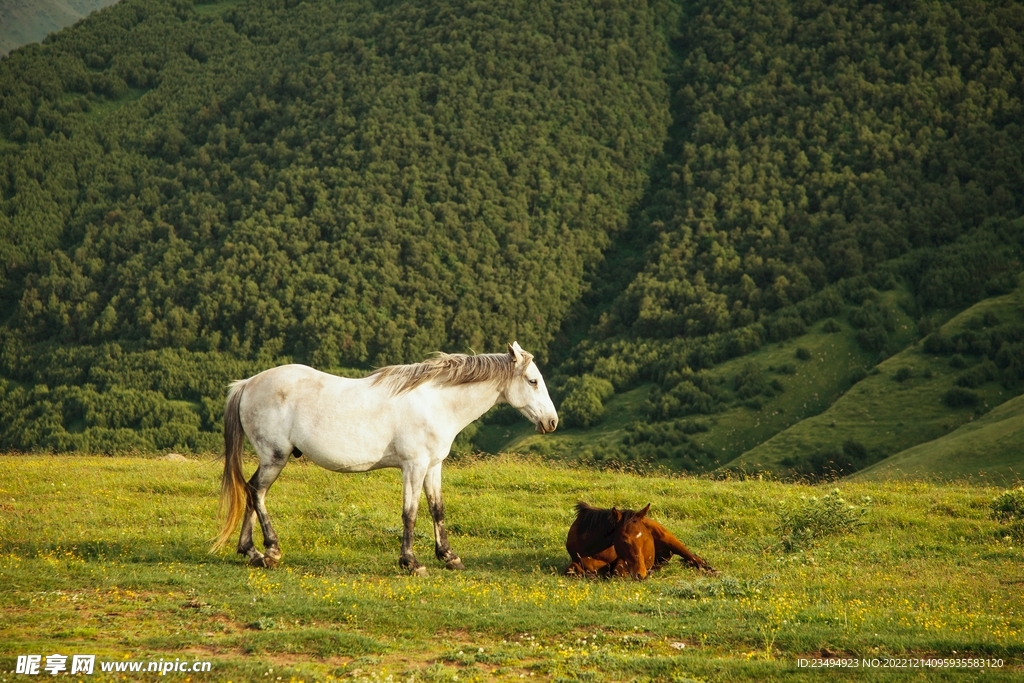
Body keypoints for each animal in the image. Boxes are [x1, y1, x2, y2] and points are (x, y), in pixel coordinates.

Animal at [210, 339, 557, 573]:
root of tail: (247, 384)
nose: (552, 422)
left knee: (251, 492)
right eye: (533, 381)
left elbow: (437, 509)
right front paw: (411, 562)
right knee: (256, 492)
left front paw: (449, 556)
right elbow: (410, 513)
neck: (436, 402)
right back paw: (270, 551)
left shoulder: (433, 466)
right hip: (275, 457)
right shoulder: (413, 466)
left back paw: (251, 552)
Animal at [565, 499, 716, 581]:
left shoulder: (622, 561)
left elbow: (616, 571)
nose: (641, 574)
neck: (594, 551)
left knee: (696, 559)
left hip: (673, 542)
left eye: (645, 539)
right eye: (625, 541)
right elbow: (572, 570)